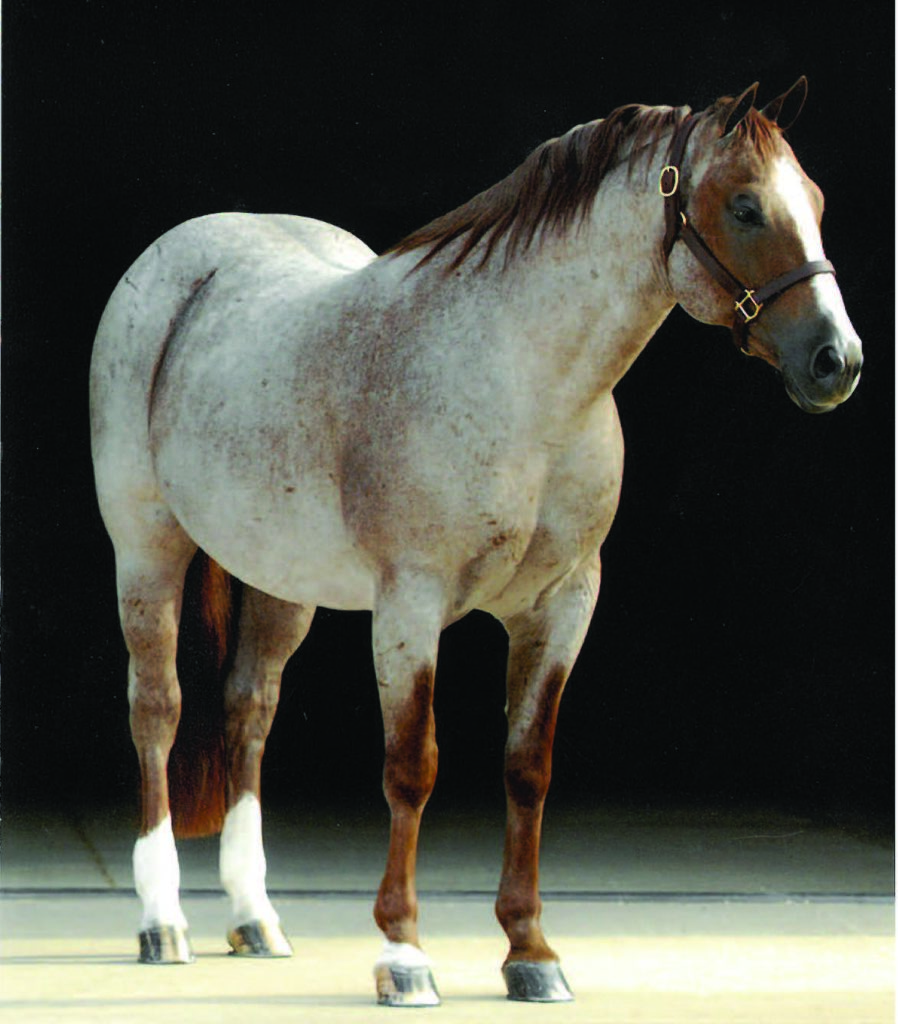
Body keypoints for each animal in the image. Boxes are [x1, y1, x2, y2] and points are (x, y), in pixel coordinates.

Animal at [89, 78, 862, 1005]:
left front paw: (531, 954)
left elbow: (528, 769)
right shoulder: (410, 606)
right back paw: (160, 921)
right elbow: (410, 767)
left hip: (280, 584)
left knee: (249, 710)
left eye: (815, 201)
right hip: (147, 553)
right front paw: (403, 955)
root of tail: (182, 257)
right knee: (158, 710)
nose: (838, 360)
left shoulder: (561, 606)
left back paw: (254, 919)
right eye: (746, 206)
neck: (522, 384)